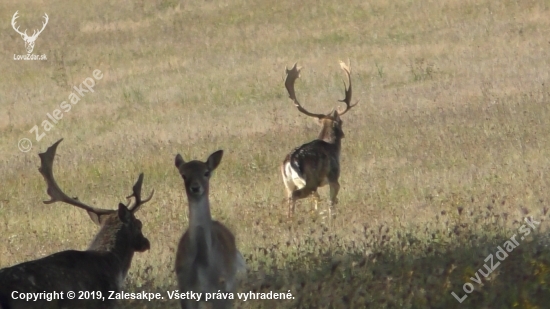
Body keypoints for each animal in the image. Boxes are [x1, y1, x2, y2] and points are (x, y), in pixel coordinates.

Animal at [282, 60, 360, 218]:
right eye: (341, 121)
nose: (343, 134)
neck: (332, 146)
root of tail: (289, 162)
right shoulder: (334, 177)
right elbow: (331, 202)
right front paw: (332, 218)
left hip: (287, 183)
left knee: (289, 197)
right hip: (309, 182)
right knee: (295, 195)